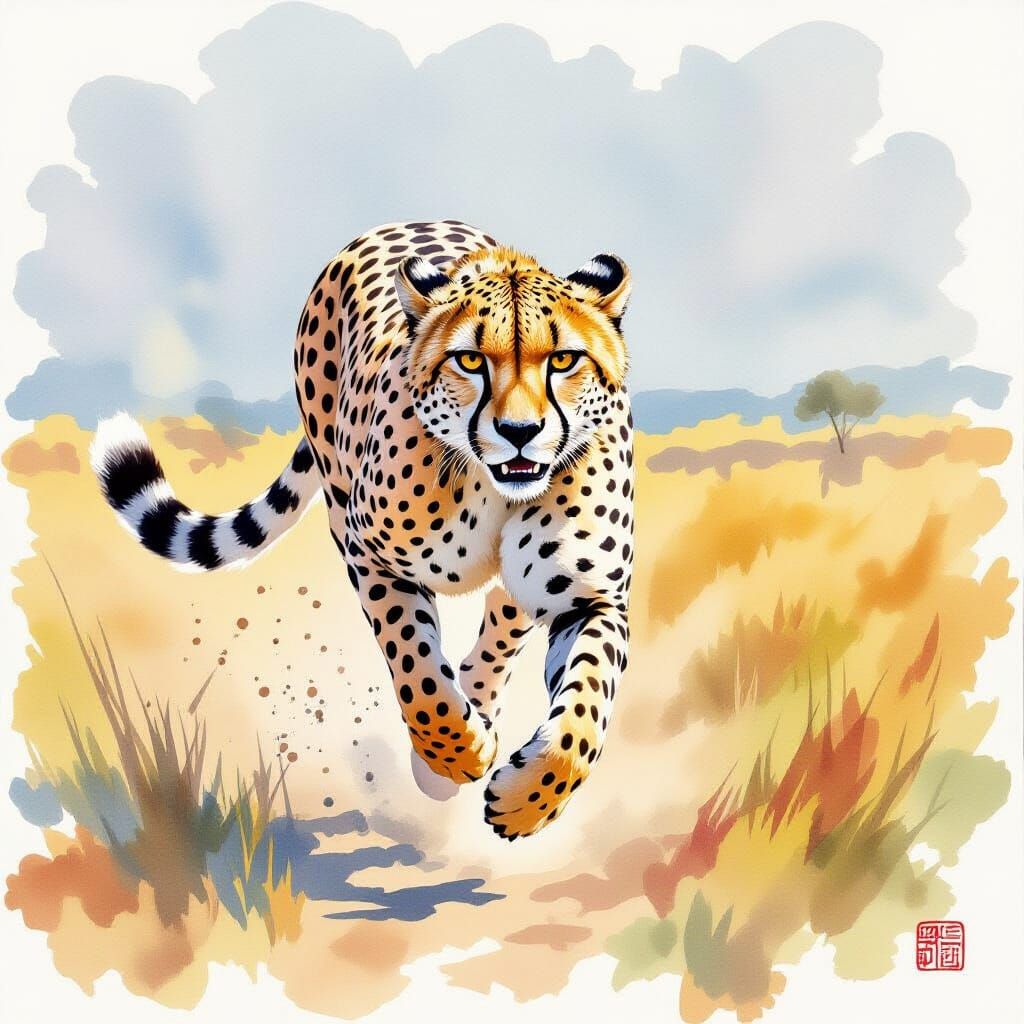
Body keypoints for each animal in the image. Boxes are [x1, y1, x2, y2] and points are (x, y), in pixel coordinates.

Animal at [92, 219, 635, 839]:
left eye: (564, 359)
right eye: (470, 362)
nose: (519, 432)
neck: (496, 489)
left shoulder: (591, 597)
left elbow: (584, 709)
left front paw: (529, 800)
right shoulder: (370, 556)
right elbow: (418, 673)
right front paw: (457, 755)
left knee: (504, 619)